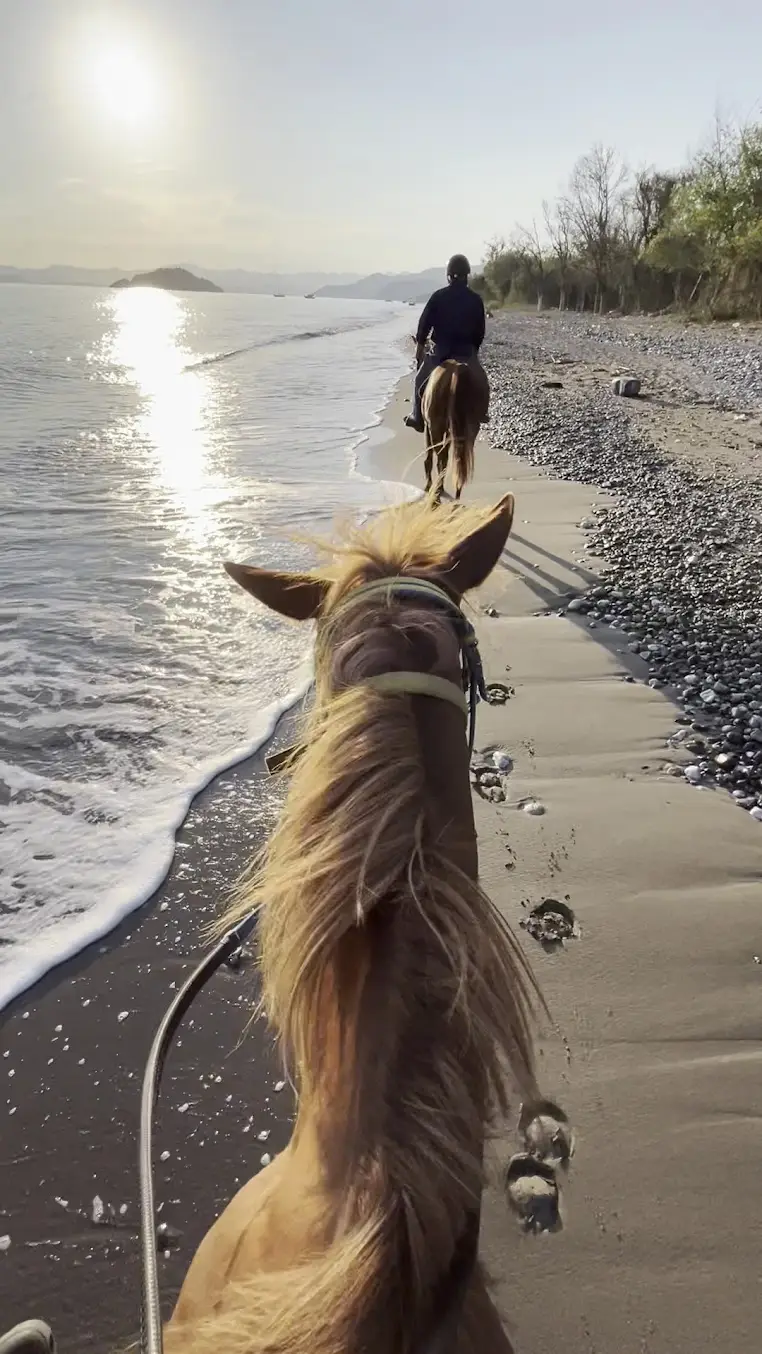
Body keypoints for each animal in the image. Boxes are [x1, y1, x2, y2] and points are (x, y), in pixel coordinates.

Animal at [422, 360, 488, 501]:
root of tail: (458, 368)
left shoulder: (428, 427)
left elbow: (430, 456)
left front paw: (429, 485)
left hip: (436, 427)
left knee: (440, 457)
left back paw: (437, 492)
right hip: (470, 428)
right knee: (460, 459)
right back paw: (456, 492)